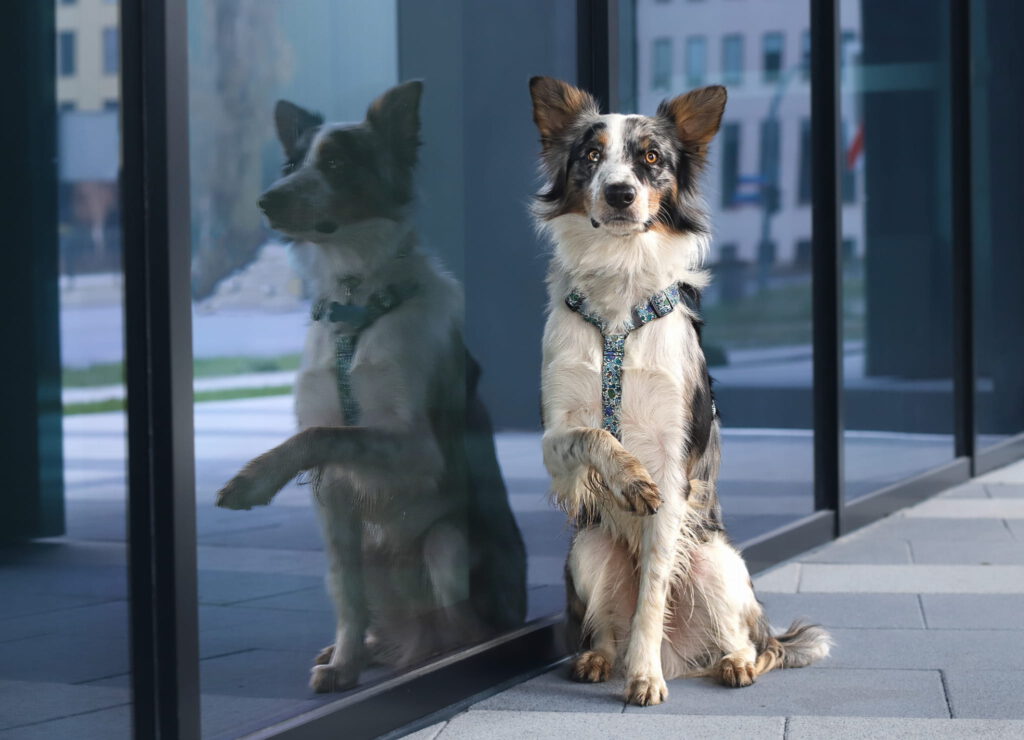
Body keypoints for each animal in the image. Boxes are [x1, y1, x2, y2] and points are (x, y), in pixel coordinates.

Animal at [211, 80, 524, 695]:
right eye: (291, 164)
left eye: (336, 163)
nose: (266, 202)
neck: (355, 308)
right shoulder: (334, 499)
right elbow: (347, 594)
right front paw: (345, 664)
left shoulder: (417, 448)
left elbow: (320, 435)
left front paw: (252, 479)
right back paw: (371, 651)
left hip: (447, 542)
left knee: (461, 627)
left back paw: (440, 661)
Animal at [532, 78, 827, 708]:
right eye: (590, 155)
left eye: (651, 158)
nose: (620, 195)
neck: (619, 303)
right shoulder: (553, 438)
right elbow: (593, 434)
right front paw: (627, 476)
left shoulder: (674, 462)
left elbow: (653, 595)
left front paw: (645, 677)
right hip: (588, 549)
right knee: (608, 627)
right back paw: (598, 657)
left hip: (718, 562)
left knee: (751, 641)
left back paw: (733, 663)